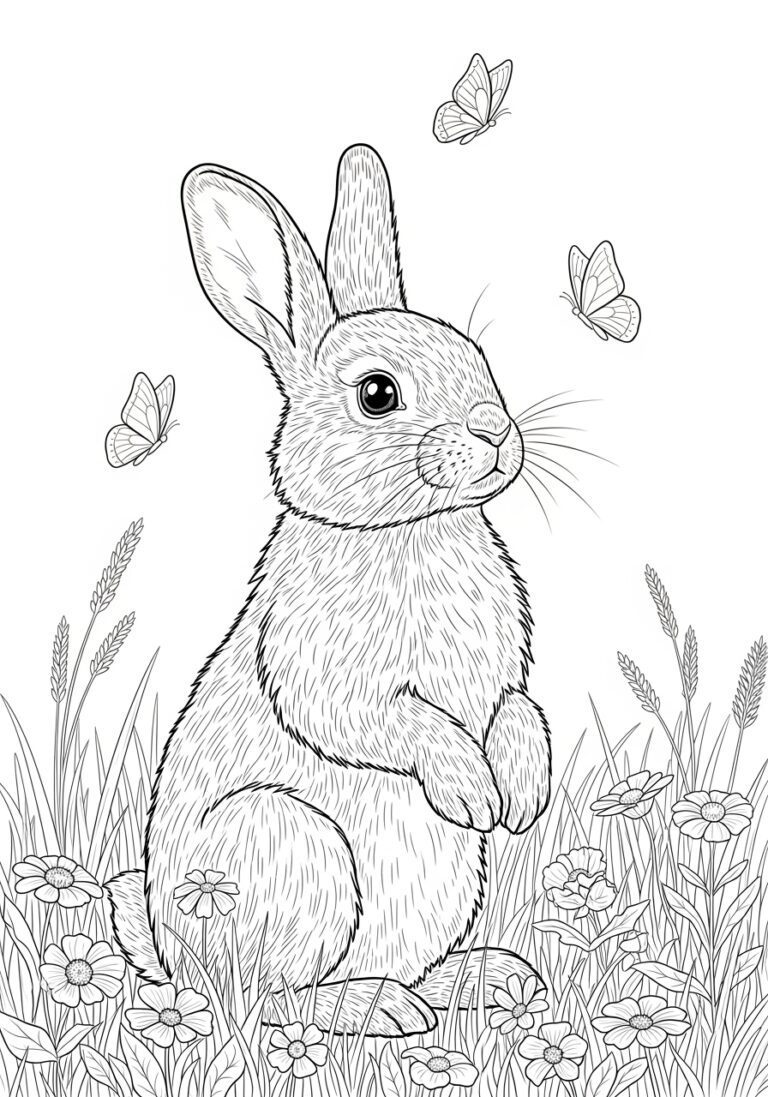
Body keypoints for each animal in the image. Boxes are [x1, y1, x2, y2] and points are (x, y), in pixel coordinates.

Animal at [107, 144, 552, 1037]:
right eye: (377, 393)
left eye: (477, 358)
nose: (495, 431)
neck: (407, 529)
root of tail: (171, 956)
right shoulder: (323, 669)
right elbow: (380, 719)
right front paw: (471, 791)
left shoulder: (505, 678)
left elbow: (519, 708)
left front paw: (519, 795)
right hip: (296, 845)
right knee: (266, 1000)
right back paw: (377, 1007)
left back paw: (489, 979)